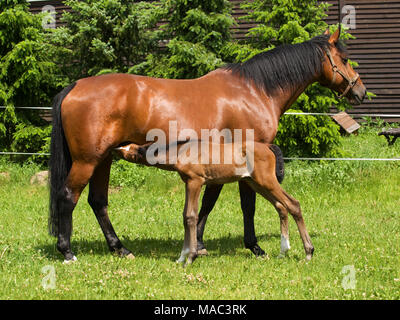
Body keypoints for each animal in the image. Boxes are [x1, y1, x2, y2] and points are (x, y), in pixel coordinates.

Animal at [114, 142, 314, 264]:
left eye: (131, 149)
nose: (116, 148)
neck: (182, 151)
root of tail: (269, 147)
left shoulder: (195, 182)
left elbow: (191, 217)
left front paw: (190, 257)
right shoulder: (188, 183)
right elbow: (185, 216)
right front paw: (181, 257)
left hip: (266, 181)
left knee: (293, 204)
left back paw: (308, 252)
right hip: (256, 183)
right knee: (281, 207)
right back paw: (283, 251)